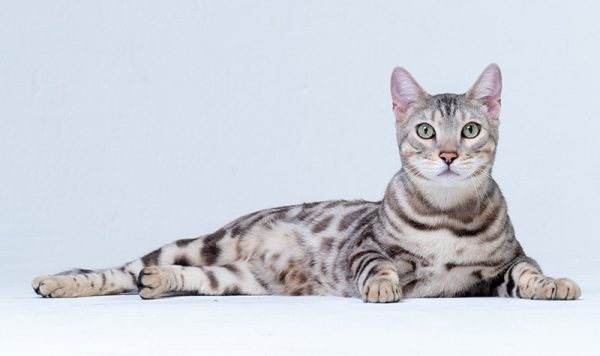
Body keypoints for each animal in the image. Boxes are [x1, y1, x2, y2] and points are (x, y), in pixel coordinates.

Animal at [31, 65, 580, 302]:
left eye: (469, 131)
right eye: (426, 131)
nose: (448, 155)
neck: (447, 213)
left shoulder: (501, 267)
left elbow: (529, 272)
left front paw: (554, 283)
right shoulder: (365, 246)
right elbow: (377, 265)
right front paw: (383, 287)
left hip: (239, 278)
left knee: (189, 279)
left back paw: (160, 283)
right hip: (206, 242)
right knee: (122, 269)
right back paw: (60, 282)